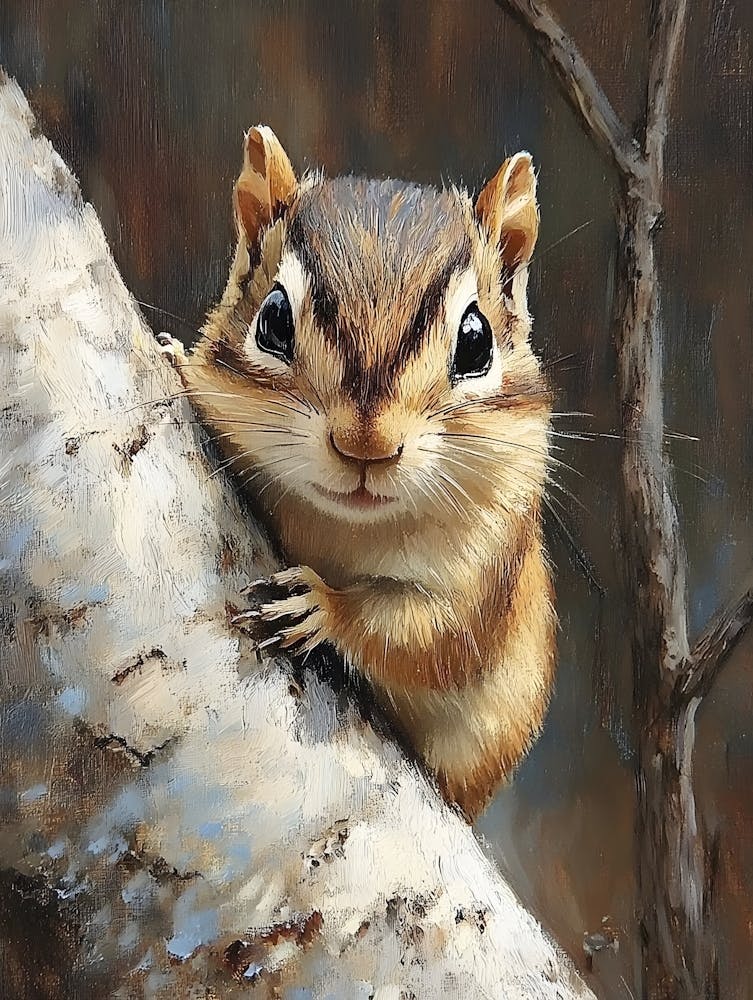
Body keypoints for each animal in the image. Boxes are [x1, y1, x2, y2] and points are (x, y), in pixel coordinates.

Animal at [180, 126, 556, 821]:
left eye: (476, 341)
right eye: (273, 319)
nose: (366, 445)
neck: (345, 529)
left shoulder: (487, 571)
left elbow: (429, 640)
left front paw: (321, 606)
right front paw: (170, 358)